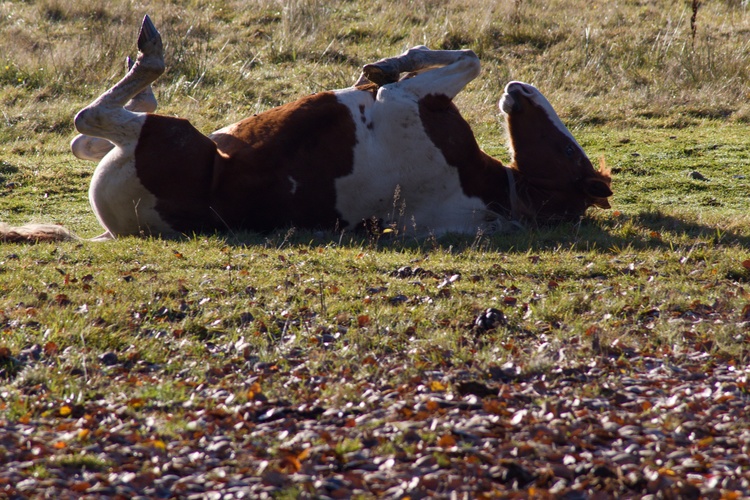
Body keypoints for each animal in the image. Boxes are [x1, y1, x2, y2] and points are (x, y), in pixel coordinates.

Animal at [1, 15, 612, 242]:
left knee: (92, 117)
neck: (490, 194)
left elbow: (464, 60)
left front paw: (385, 65)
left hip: (162, 134)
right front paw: (379, 65)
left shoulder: (407, 101)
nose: (521, 91)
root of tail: (119, 226)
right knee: (86, 134)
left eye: (566, 151)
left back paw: (148, 55)